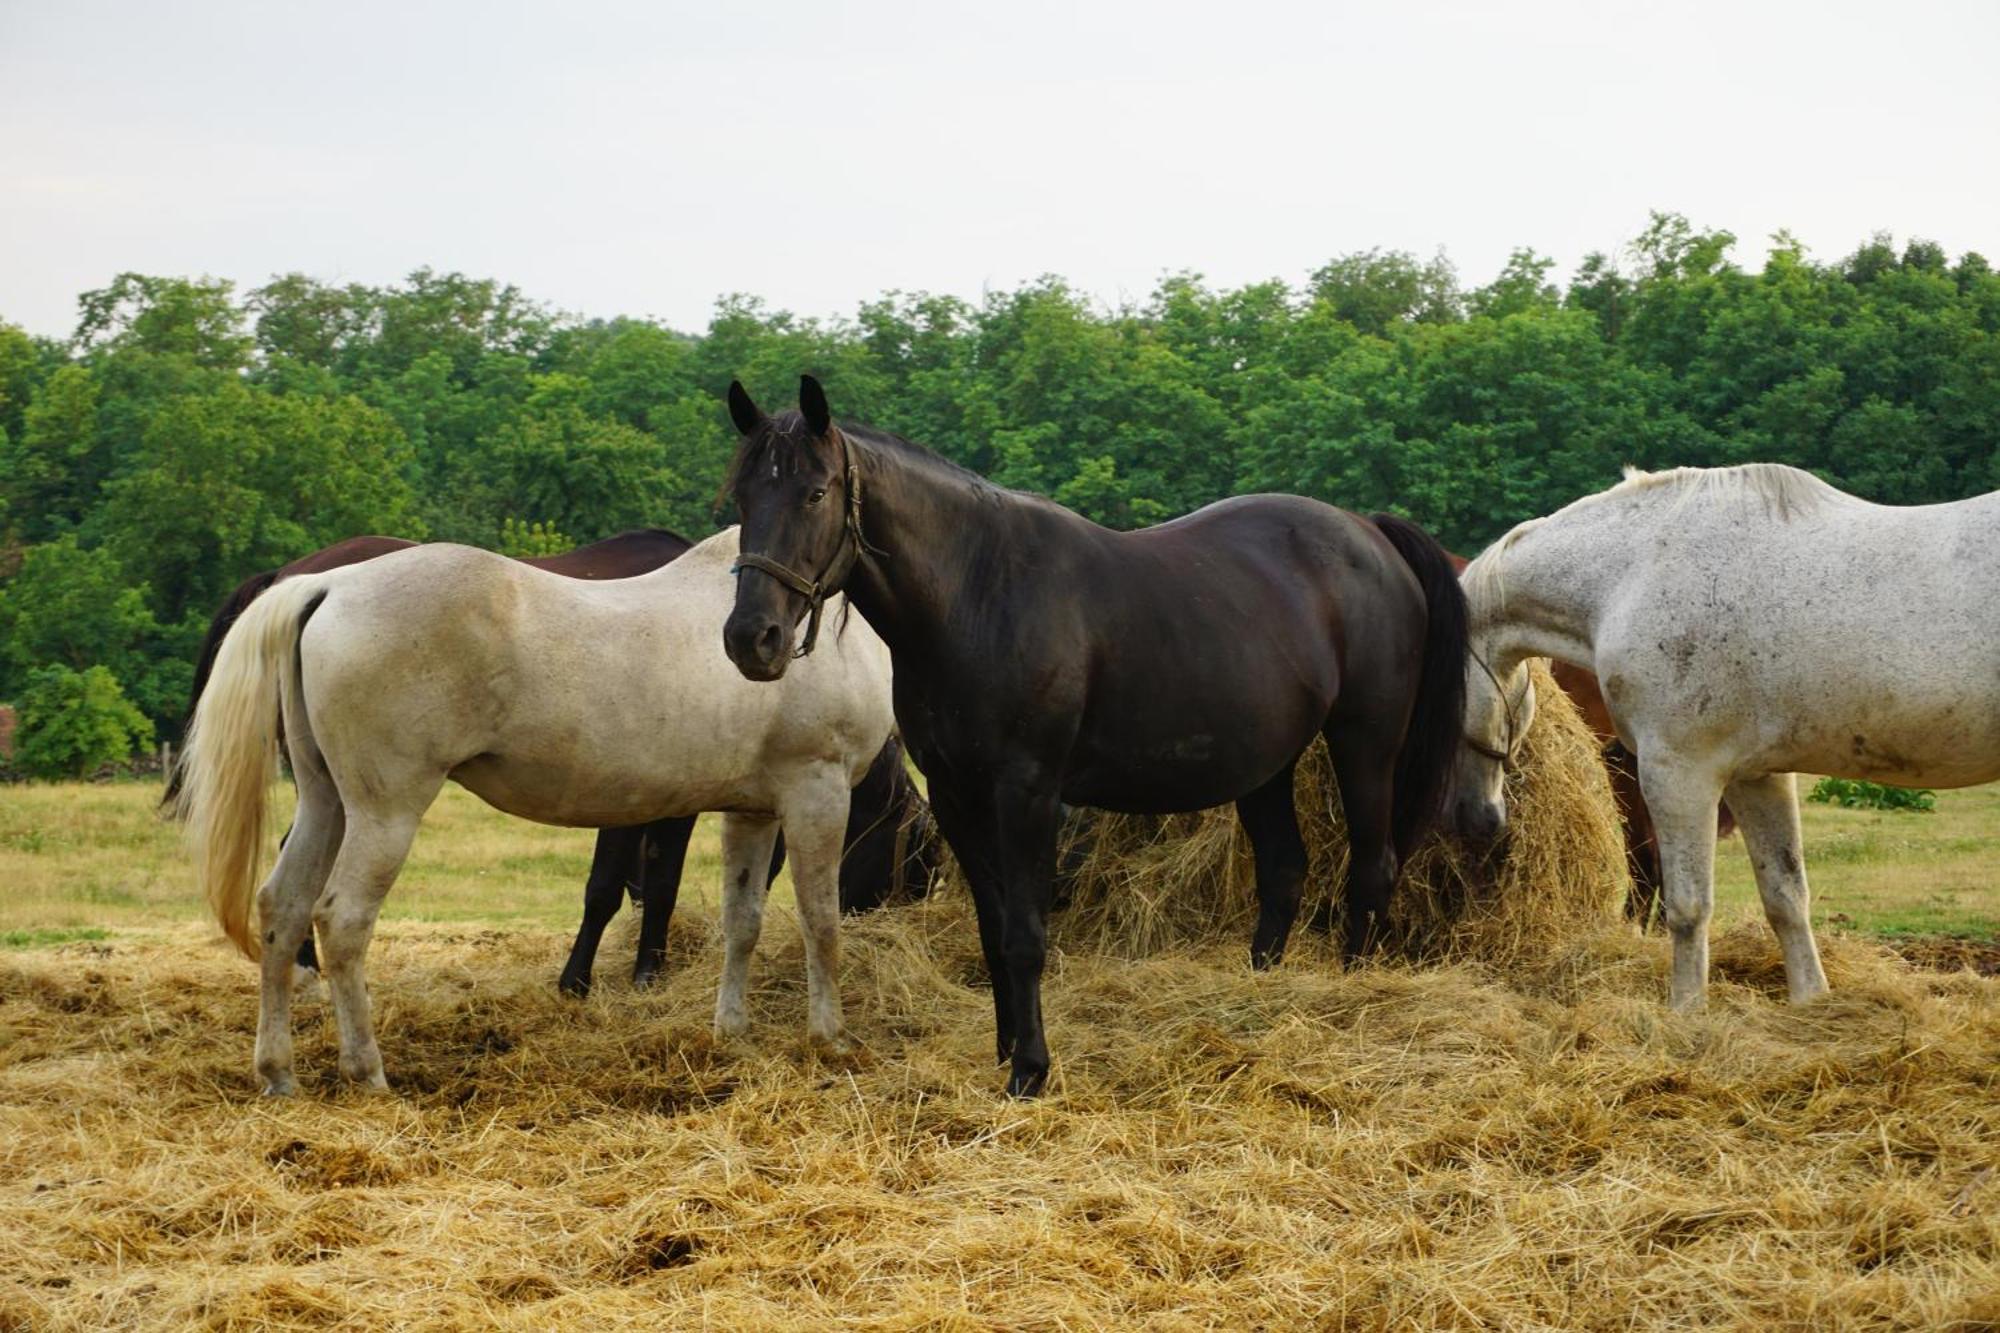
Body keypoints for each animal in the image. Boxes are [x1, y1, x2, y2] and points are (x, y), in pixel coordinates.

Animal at [176, 528, 896, 1088]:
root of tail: (329, 586)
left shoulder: (752, 810)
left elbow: (742, 921)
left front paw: (732, 1031)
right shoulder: (814, 791)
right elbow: (819, 920)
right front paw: (829, 1036)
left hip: (328, 803)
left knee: (284, 905)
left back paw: (278, 1070)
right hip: (383, 814)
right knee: (342, 919)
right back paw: (367, 1071)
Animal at [720, 376, 1472, 1088]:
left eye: (816, 493)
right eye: (743, 499)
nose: (752, 638)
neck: (979, 594)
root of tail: (1369, 531)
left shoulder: (1028, 792)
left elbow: (1026, 933)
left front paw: (1030, 1069)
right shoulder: (958, 795)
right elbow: (993, 928)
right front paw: (1005, 1050)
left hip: (1366, 743)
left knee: (1372, 866)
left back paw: (1351, 997)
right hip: (1268, 762)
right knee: (1285, 870)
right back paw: (1261, 996)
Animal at [1456, 464, 2000, 1008]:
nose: (1476, 819)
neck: (1630, 578)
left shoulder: (1678, 773)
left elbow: (1687, 907)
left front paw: (1686, 1011)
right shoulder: (1757, 776)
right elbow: (1786, 896)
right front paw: (1811, 1004)